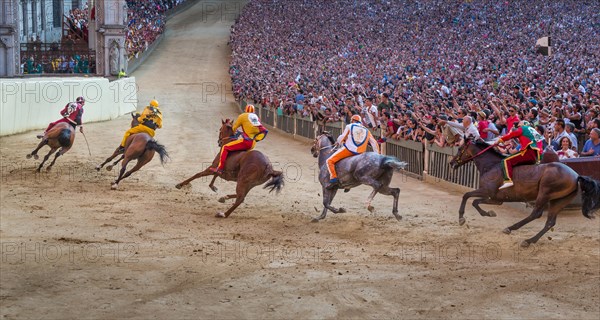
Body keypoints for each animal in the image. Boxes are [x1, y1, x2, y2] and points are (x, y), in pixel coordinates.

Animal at [450, 139, 596, 246]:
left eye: (460, 149)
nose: (451, 163)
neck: (491, 165)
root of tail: (576, 176)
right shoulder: (495, 198)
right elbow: (475, 202)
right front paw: (489, 213)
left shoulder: (487, 191)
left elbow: (467, 196)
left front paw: (461, 218)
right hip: (558, 201)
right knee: (550, 222)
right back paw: (530, 240)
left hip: (544, 193)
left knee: (536, 214)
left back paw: (512, 229)